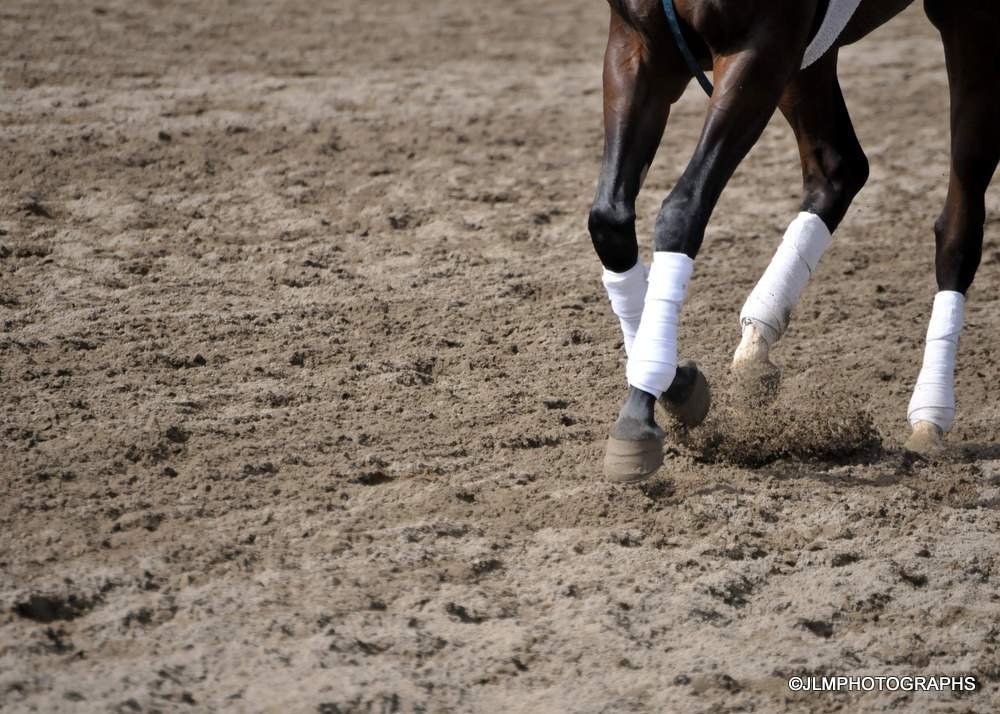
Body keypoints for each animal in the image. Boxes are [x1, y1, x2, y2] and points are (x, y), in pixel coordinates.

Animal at [592, 0, 1000, 482]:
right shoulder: (637, 43)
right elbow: (609, 222)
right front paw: (675, 383)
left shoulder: (758, 47)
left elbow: (682, 209)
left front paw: (641, 408)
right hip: (808, 58)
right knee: (839, 171)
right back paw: (756, 346)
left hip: (966, 23)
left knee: (959, 224)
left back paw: (930, 415)